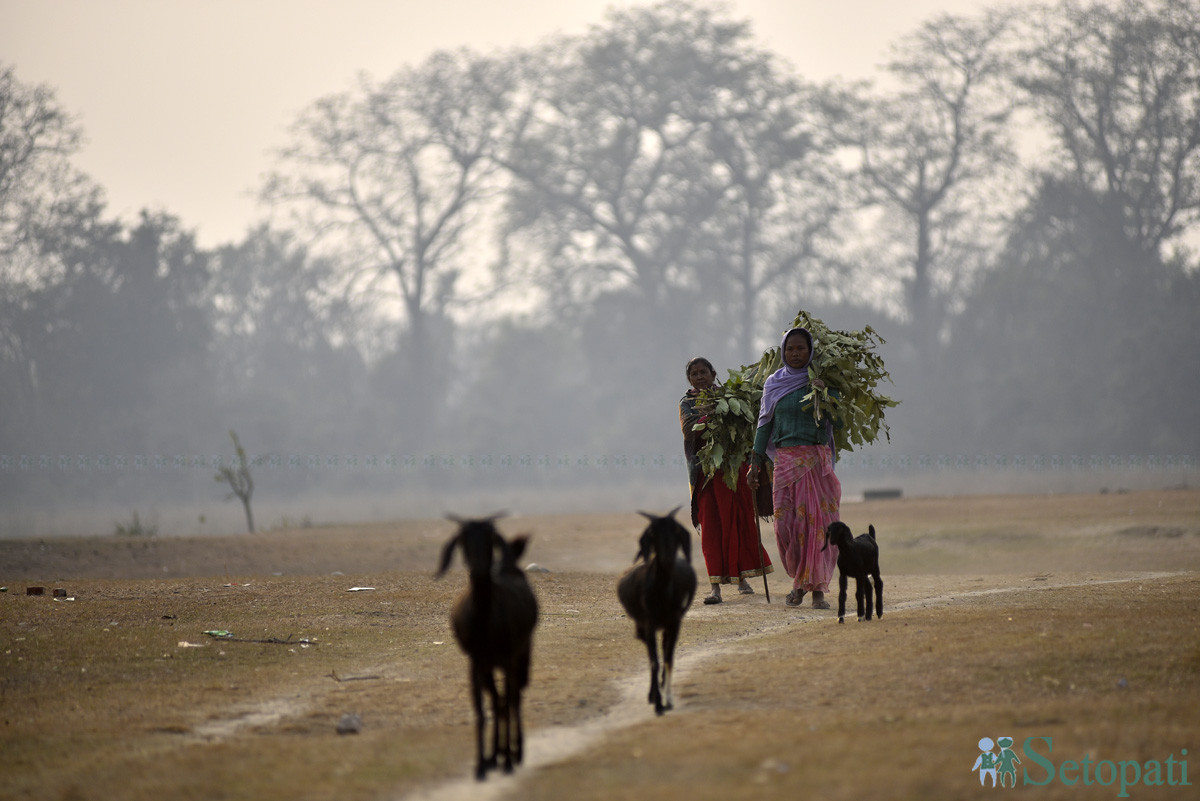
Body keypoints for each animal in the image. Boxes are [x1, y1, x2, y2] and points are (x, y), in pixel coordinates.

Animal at [614, 506, 700, 714]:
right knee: (651, 650)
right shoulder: (650, 623)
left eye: (676, 530)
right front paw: (658, 702)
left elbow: (669, 657)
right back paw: (653, 693)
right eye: (653, 533)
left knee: (664, 649)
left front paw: (667, 699)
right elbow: (654, 659)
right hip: (644, 626)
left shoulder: (675, 622)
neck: (662, 592)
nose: (668, 559)